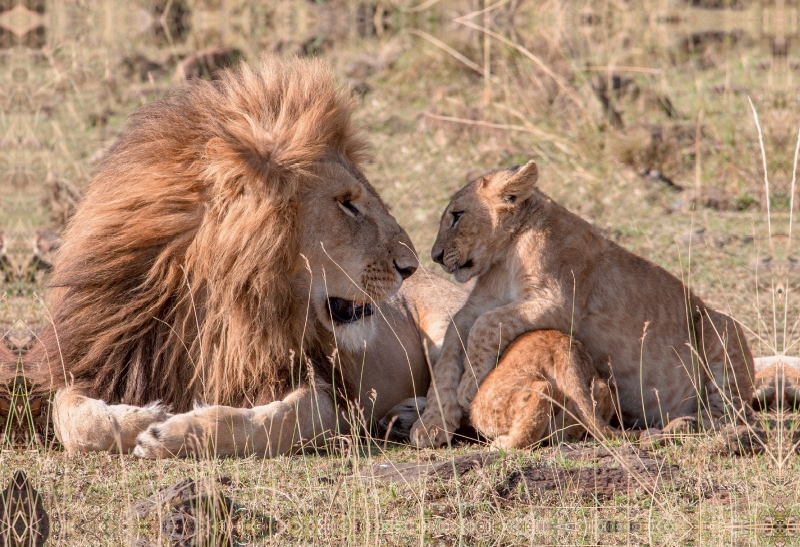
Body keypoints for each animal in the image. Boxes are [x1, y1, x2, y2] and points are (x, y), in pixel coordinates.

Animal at [31, 55, 466, 458]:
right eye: (347, 203)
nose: (411, 266)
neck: (213, 303)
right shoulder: (99, 359)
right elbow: (72, 418)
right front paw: (146, 415)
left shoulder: (324, 390)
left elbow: (273, 420)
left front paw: (172, 431)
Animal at [412, 159, 756, 450]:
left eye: (457, 215)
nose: (435, 256)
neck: (506, 254)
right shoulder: (475, 307)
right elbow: (448, 354)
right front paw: (431, 425)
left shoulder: (559, 302)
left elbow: (486, 325)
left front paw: (469, 386)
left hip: (718, 323)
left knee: (733, 412)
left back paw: (695, 424)